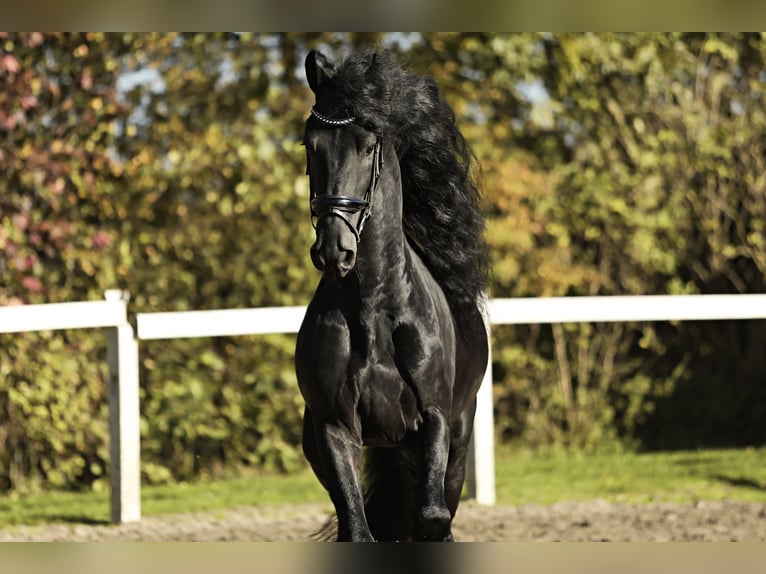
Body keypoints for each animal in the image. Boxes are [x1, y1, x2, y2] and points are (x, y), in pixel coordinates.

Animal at [296, 49, 492, 544]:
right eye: (311, 145)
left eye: (369, 146)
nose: (334, 249)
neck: (372, 310)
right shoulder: (335, 429)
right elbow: (358, 529)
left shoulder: (435, 420)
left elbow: (432, 519)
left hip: (457, 441)